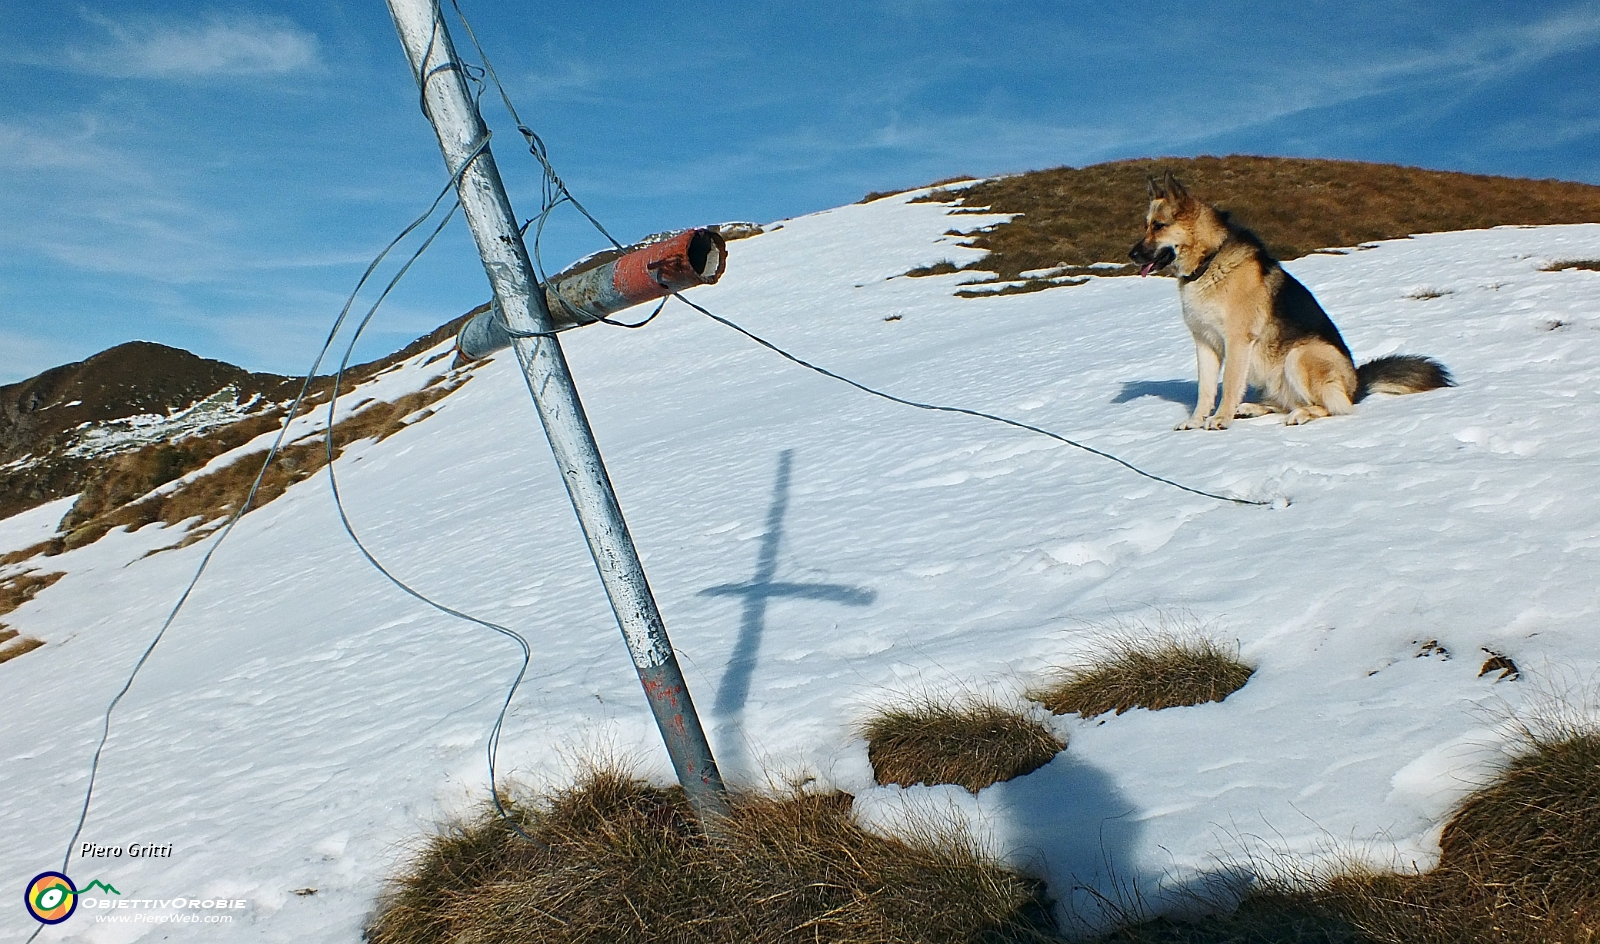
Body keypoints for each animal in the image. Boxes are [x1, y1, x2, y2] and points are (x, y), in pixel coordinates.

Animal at [1126, 172, 1452, 432]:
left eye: (1159, 225)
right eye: (1146, 225)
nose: (1132, 255)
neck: (1209, 260)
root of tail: (1357, 385)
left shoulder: (1237, 341)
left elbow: (1229, 385)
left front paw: (1220, 419)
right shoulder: (1205, 343)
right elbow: (1204, 391)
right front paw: (1195, 421)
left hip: (1301, 355)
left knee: (1334, 408)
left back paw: (1301, 414)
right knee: (1285, 402)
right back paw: (1253, 408)